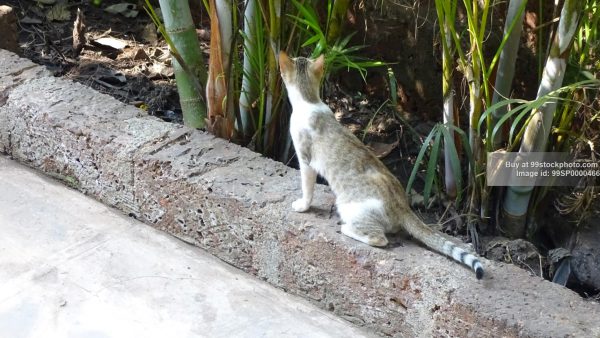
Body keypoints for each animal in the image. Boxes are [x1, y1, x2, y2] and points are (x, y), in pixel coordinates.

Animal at [278, 51, 486, 278]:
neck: (309, 100)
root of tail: (403, 207)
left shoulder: (305, 160)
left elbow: (307, 188)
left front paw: (302, 206)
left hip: (349, 206)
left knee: (379, 239)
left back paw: (346, 228)